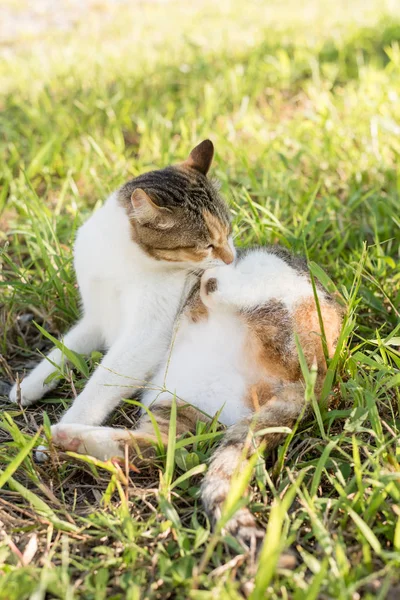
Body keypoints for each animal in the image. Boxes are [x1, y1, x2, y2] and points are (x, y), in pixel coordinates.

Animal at [8, 139, 234, 432]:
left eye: (228, 233)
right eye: (206, 246)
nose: (232, 258)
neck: (120, 262)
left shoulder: (143, 339)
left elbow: (100, 385)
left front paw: (66, 427)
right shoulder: (96, 319)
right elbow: (62, 349)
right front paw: (28, 385)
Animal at [45, 246, 342, 548]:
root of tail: (316, 375)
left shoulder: (145, 330)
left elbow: (103, 383)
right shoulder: (96, 322)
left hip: (285, 293)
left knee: (237, 296)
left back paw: (214, 280)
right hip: (181, 401)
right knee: (157, 444)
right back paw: (71, 439)